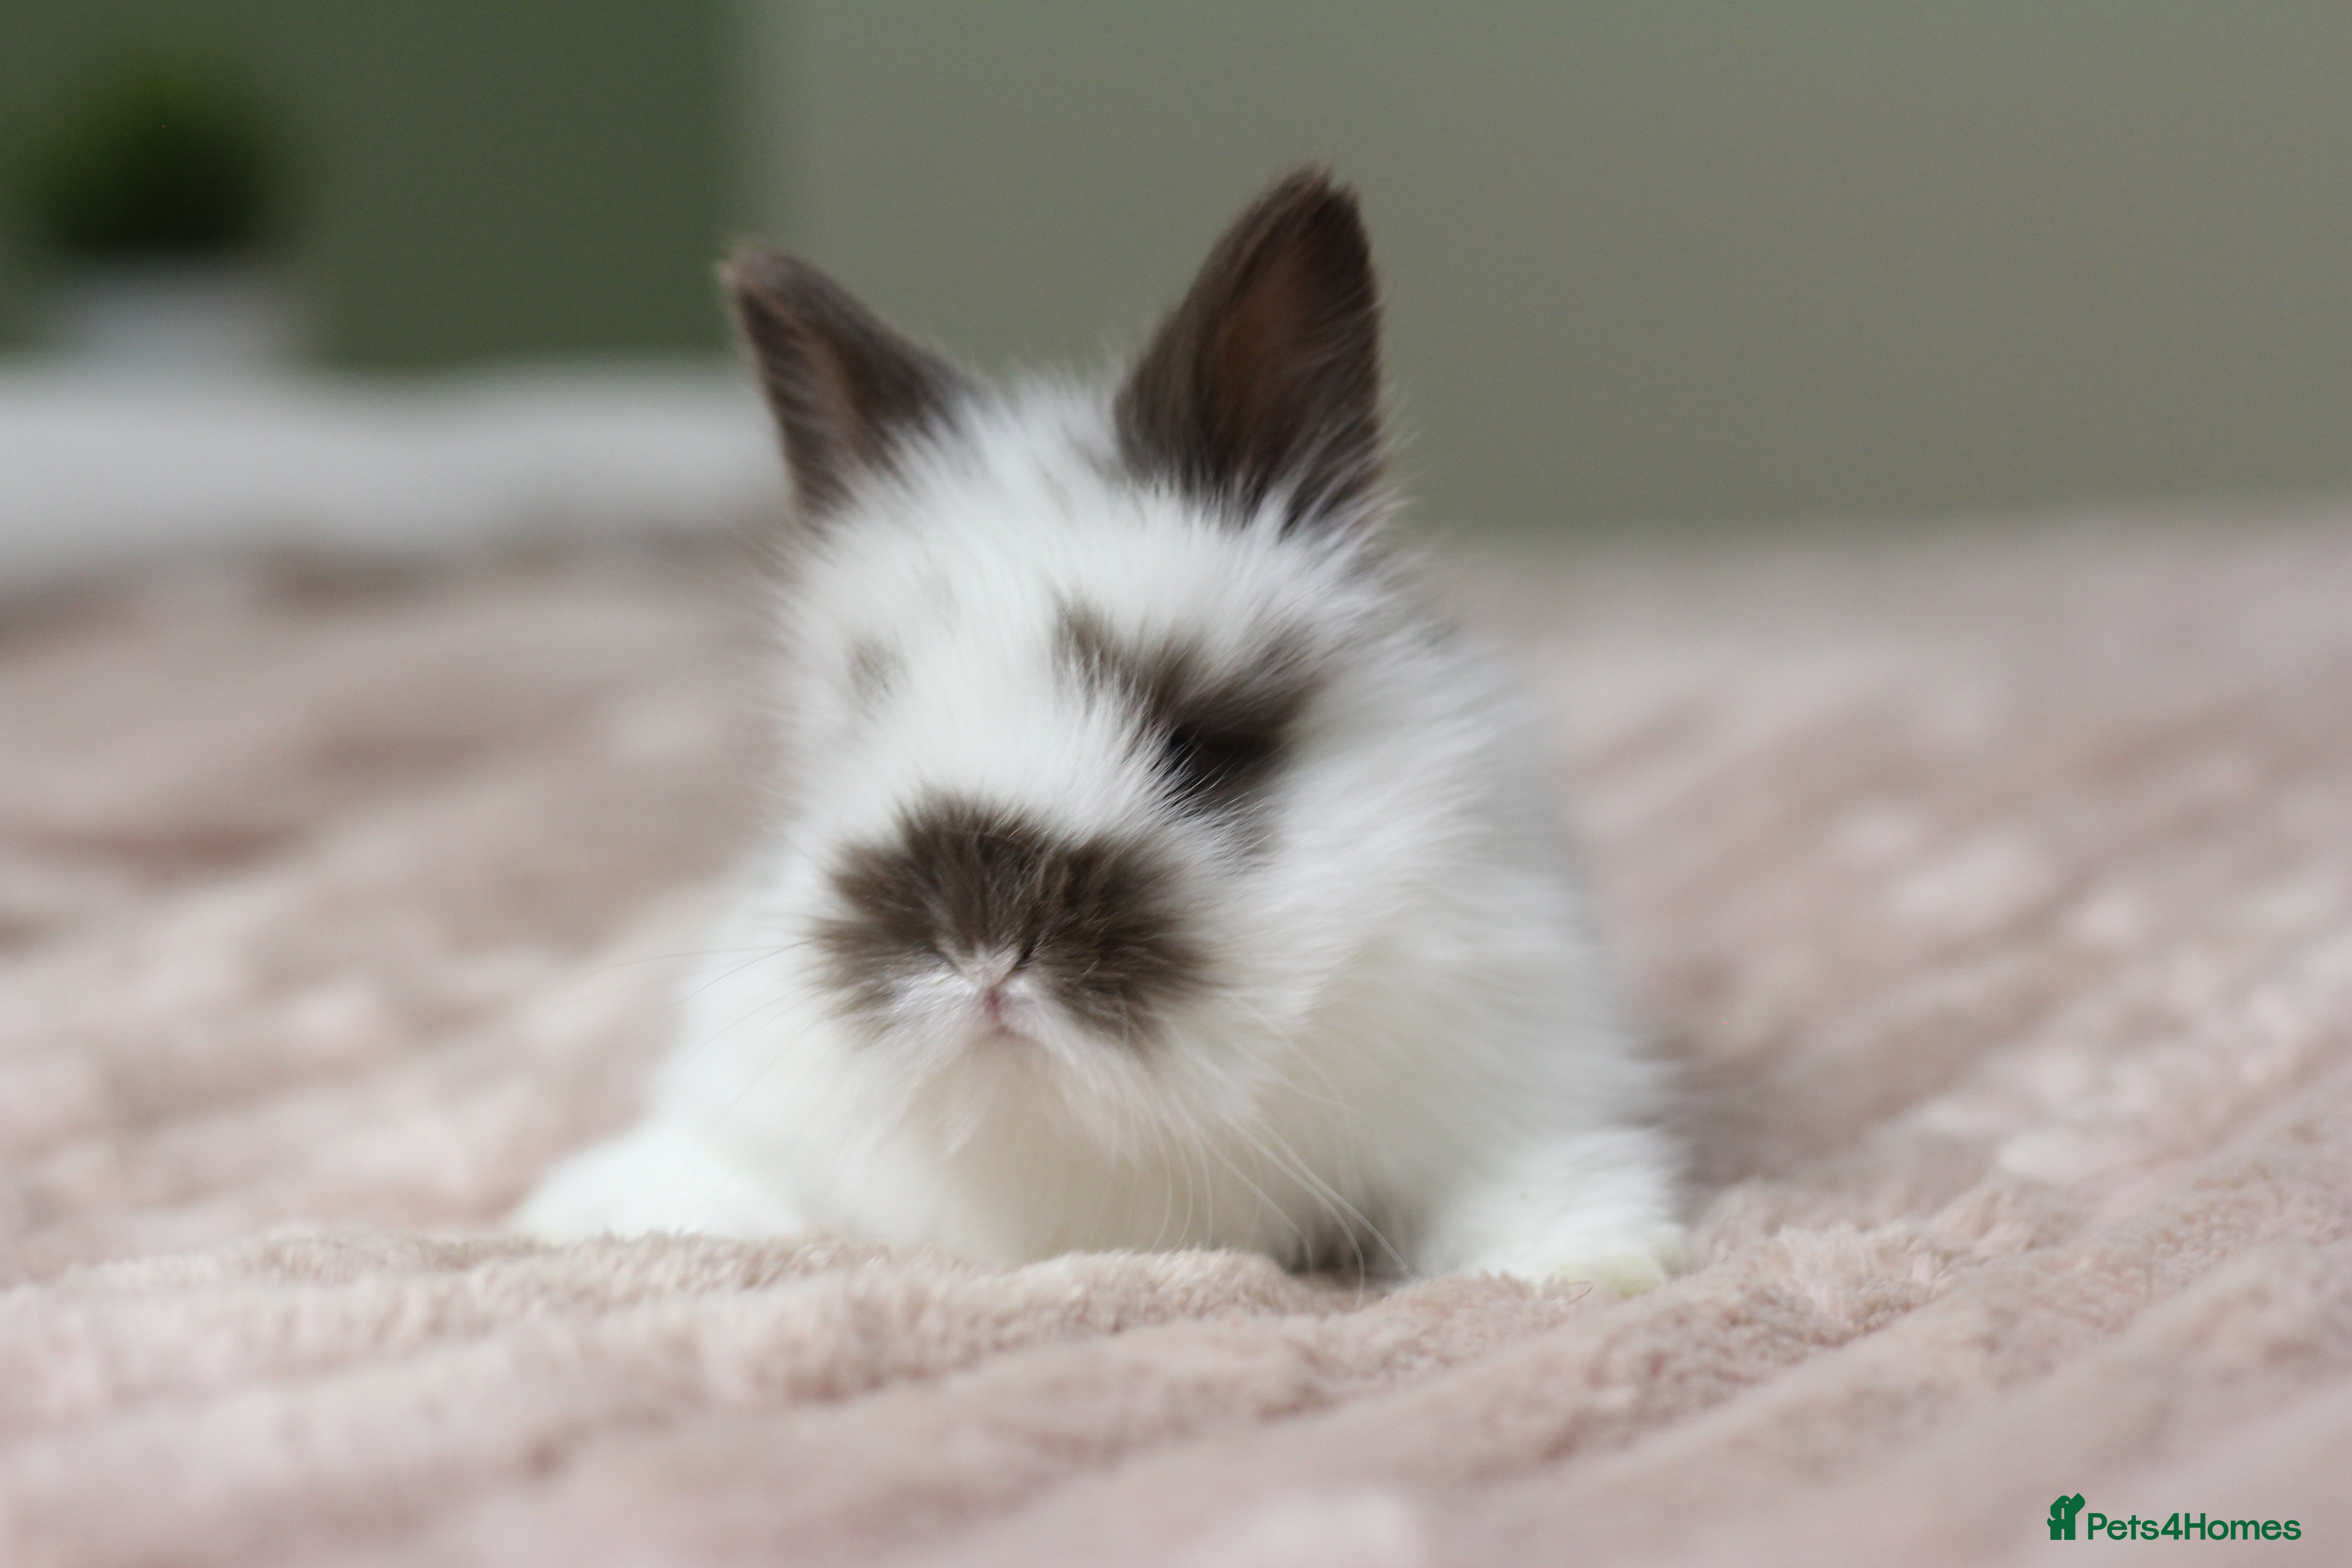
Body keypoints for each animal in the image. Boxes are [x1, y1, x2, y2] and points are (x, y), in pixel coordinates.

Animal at [514, 170, 1688, 1290]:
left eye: (1199, 749)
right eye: (866, 721)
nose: (982, 944)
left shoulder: (1524, 1076)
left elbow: (1543, 1189)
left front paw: (1584, 1274)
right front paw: (571, 1221)